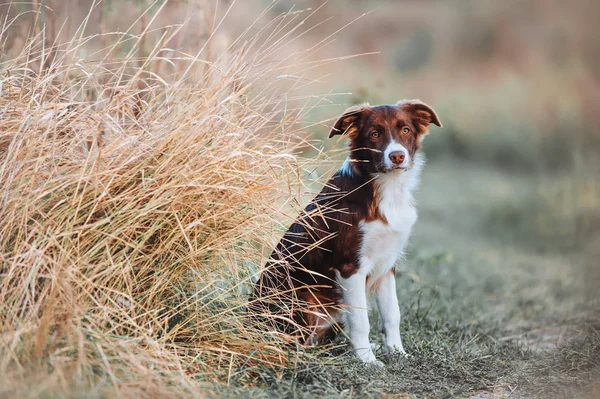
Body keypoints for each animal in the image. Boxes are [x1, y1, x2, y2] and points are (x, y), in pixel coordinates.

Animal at [248, 99, 440, 366]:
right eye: (374, 134)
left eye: (405, 130)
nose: (397, 156)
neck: (385, 189)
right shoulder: (350, 266)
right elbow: (361, 321)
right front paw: (367, 361)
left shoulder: (387, 265)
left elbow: (393, 314)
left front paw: (397, 352)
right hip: (305, 298)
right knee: (294, 342)